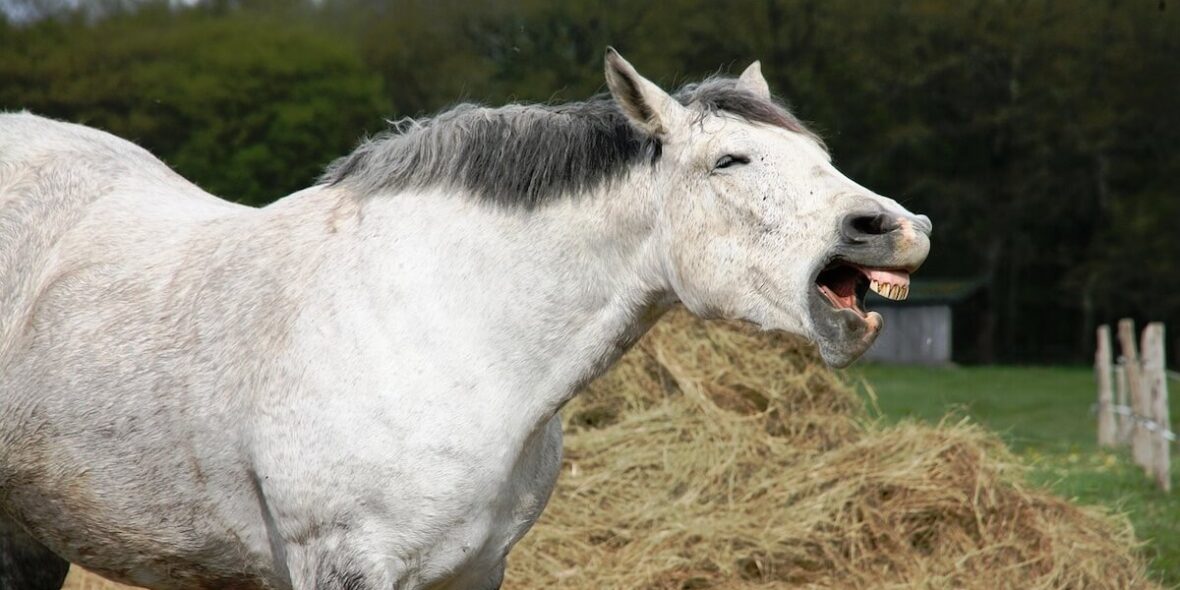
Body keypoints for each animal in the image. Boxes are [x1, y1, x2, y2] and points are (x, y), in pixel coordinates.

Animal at [0, 49, 930, 590]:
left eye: (820, 156)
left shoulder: (477, 569)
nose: (891, 227)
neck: (446, 332)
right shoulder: (343, 565)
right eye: (729, 160)